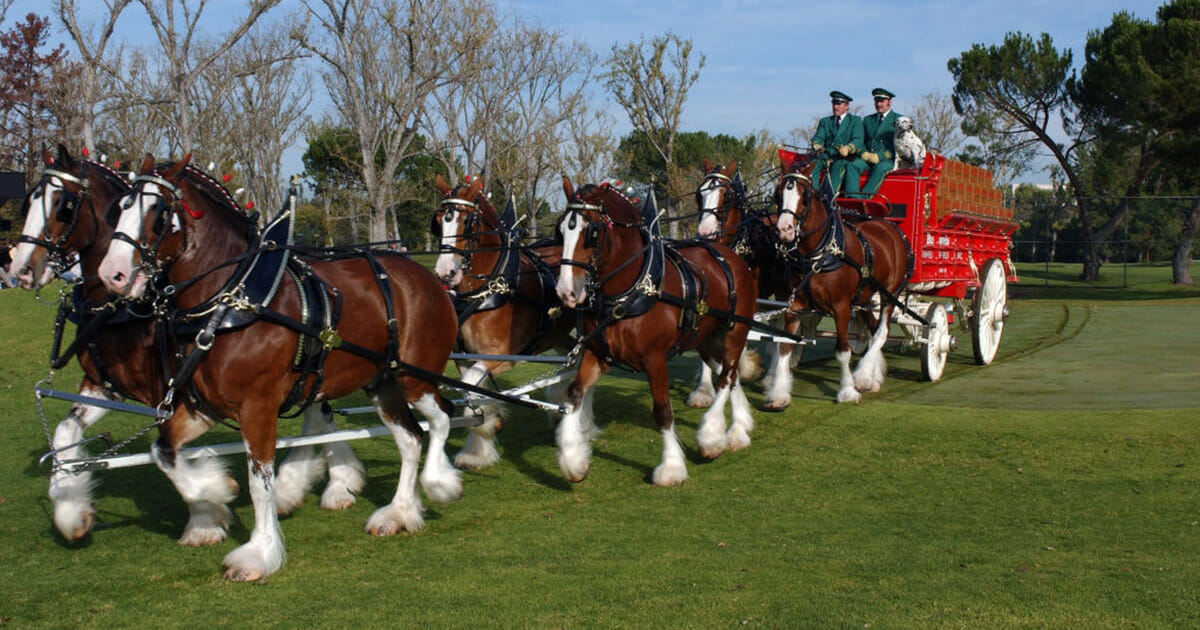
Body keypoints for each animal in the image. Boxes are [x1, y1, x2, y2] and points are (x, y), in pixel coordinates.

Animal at [98, 154, 458, 578]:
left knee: (440, 421)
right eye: (119, 209)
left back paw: (439, 483)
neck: (233, 300)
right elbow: (163, 452)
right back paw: (399, 513)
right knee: (410, 439)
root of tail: (429, 278)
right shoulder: (204, 406)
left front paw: (260, 551)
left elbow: (260, 482)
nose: (112, 273)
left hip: (413, 376)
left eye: (158, 214)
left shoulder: (258, 406)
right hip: (381, 382)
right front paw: (214, 491)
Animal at [429, 171, 578, 465]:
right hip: (555, 334)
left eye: (468, 222)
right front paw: (479, 446)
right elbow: (471, 389)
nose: (444, 273)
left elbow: (471, 386)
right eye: (438, 221)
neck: (490, 288)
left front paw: (486, 426)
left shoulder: (500, 355)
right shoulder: (466, 356)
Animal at [549, 176, 748, 487]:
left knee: (727, 377)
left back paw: (713, 436)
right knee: (729, 374)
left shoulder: (655, 359)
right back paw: (738, 429)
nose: (566, 292)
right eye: (560, 232)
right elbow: (574, 393)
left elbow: (663, 411)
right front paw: (573, 460)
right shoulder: (598, 352)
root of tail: (728, 254)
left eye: (591, 232)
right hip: (704, 338)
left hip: (735, 331)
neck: (631, 290)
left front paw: (671, 467)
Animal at [772, 159, 912, 400]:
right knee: (872, 329)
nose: (785, 229)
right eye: (778, 194)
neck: (818, 254)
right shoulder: (795, 305)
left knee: (881, 332)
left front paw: (847, 390)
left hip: (890, 293)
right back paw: (872, 375)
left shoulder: (841, 307)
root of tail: (889, 225)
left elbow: (843, 351)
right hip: (865, 295)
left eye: (805, 195)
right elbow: (784, 345)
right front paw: (778, 393)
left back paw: (864, 376)